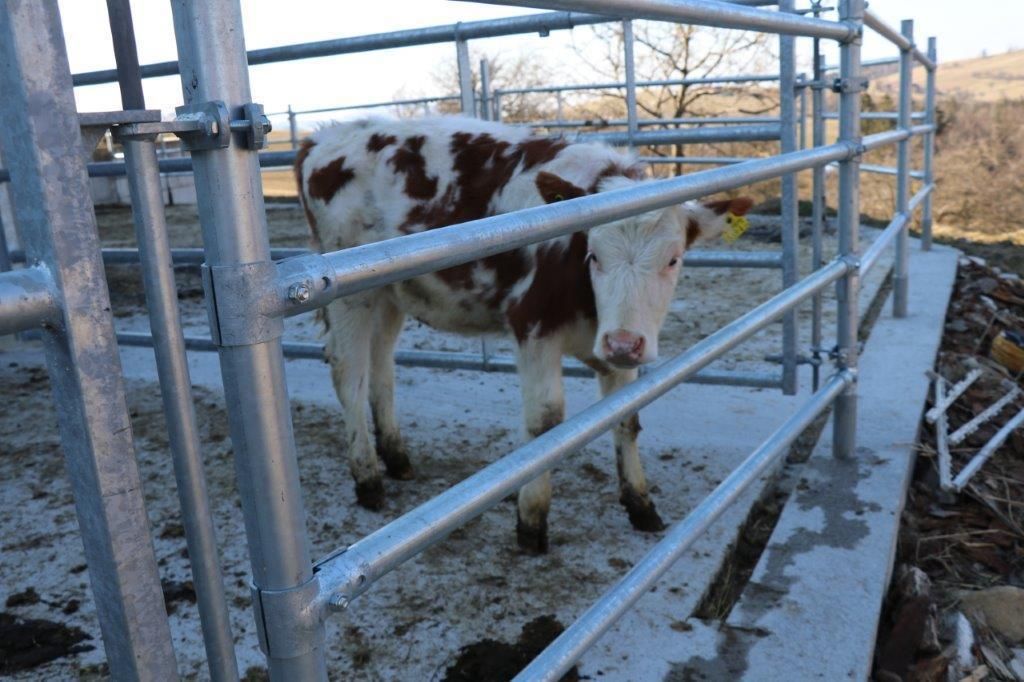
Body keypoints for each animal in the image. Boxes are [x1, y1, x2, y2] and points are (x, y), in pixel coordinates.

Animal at [295, 116, 753, 553]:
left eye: (673, 260)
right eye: (594, 255)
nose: (624, 343)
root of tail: (325, 136)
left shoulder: (616, 344)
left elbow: (626, 417)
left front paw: (640, 504)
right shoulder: (532, 326)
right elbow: (544, 424)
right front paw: (531, 521)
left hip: (390, 294)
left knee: (381, 369)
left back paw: (396, 457)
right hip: (351, 297)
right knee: (349, 374)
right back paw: (368, 478)